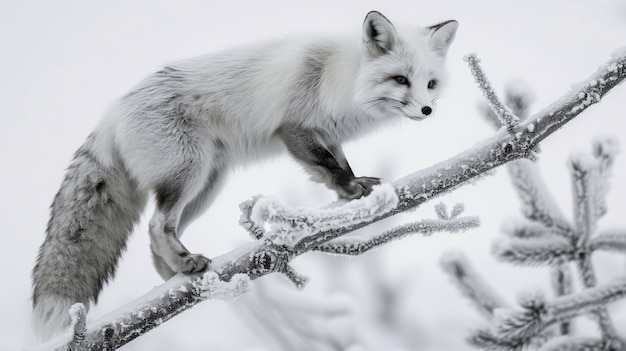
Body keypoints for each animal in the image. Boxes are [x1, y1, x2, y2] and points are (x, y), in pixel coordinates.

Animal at [31, 11, 456, 340]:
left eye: (430, 83)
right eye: (400, 80)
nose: (427, 110)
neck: (338, 75)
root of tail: (113, 111)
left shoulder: (327, 133)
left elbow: (338, 164)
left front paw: (351, 191)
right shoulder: (295, 128)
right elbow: (328, 167)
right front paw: (351, 190)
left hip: (207, 185)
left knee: (159, 232)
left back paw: (173, 272)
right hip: (189, 173)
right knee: (156, 223)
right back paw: (184, 265)